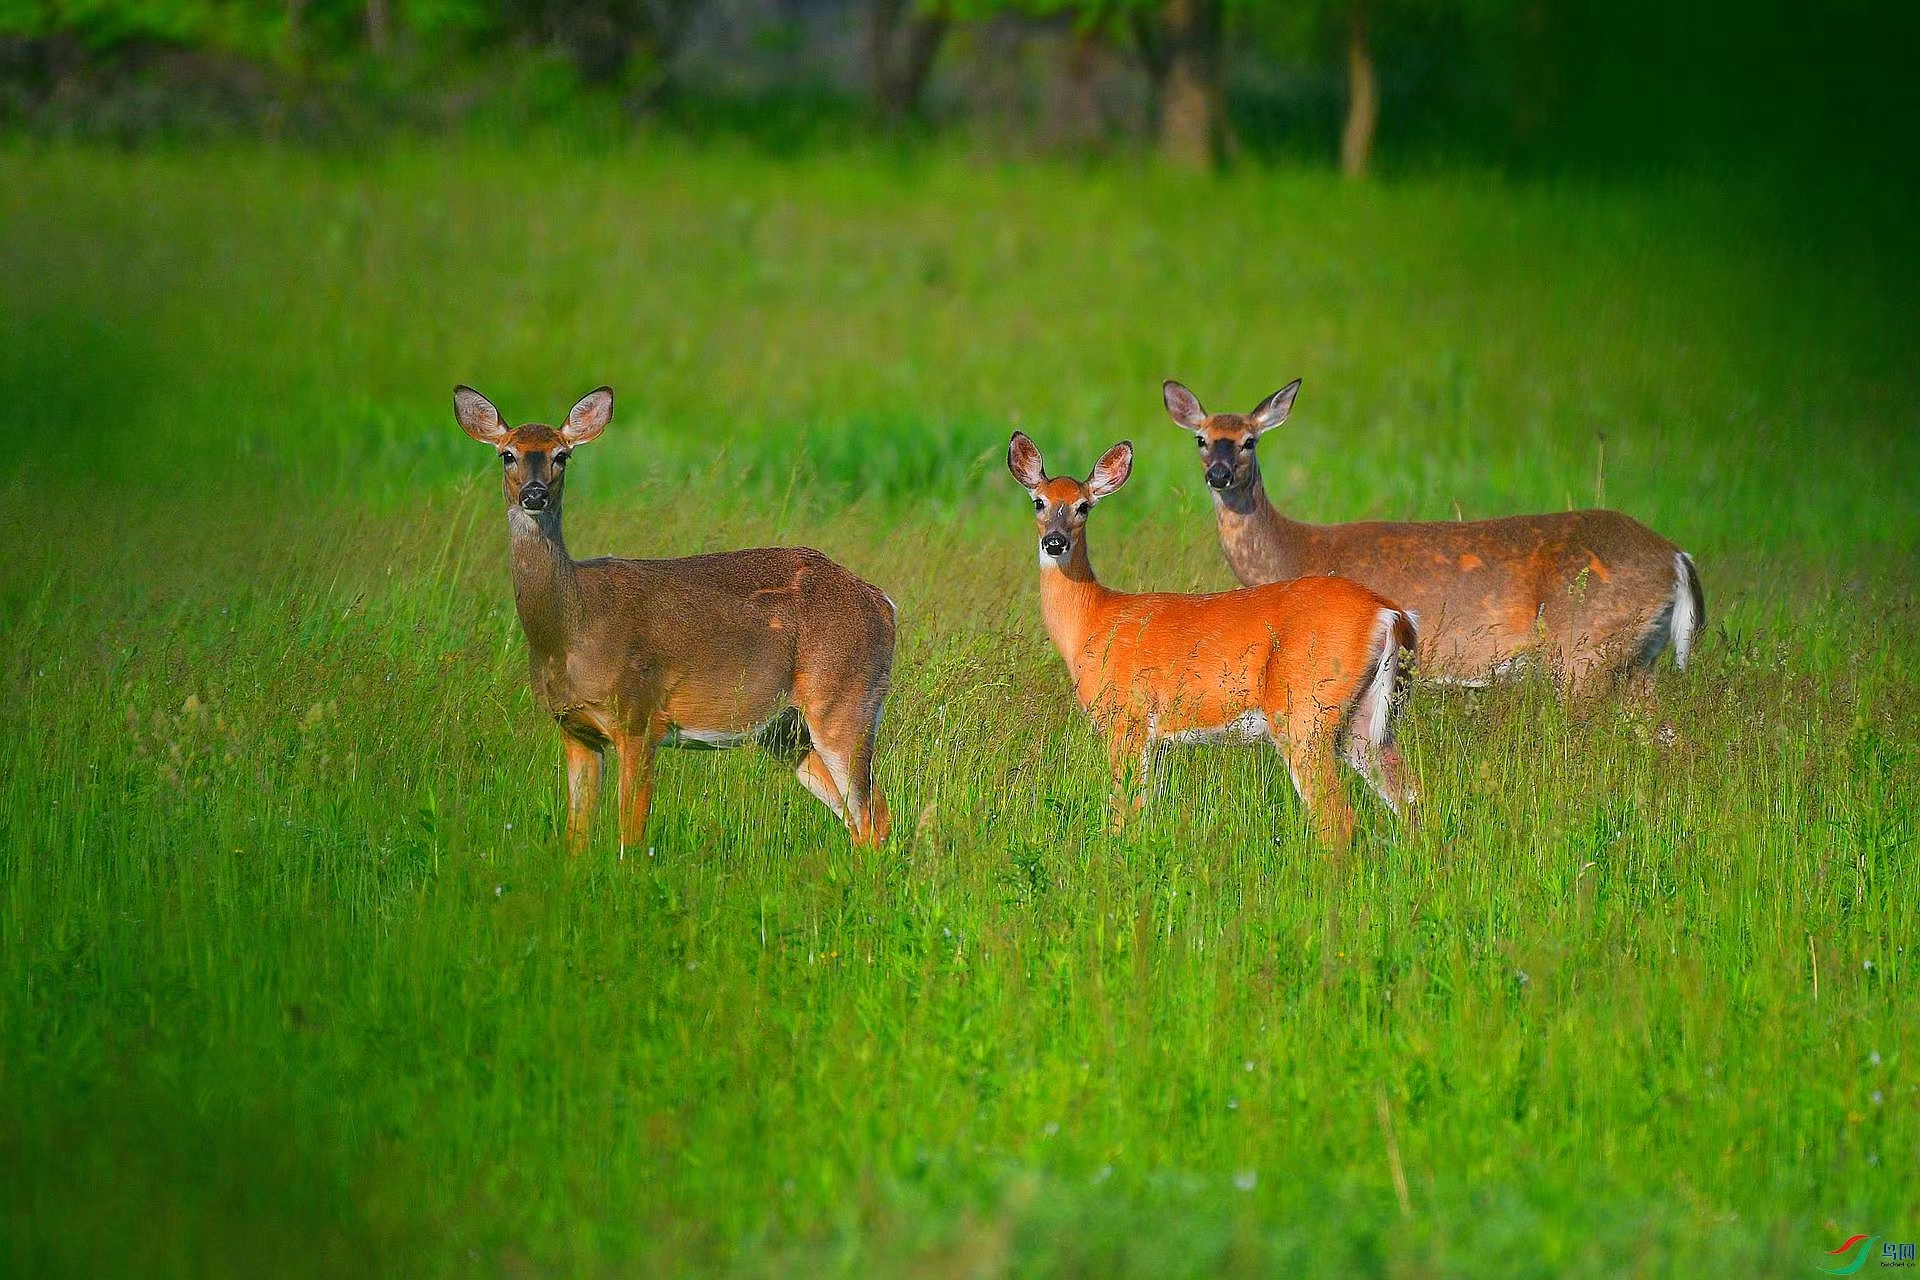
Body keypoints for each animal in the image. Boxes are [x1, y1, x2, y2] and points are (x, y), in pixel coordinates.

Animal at [456, 385, 898, 855]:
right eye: (507, 454)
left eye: (562, 456)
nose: (535, 494)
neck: (570, 631)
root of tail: (884, 603)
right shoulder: (575, 730)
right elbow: (577, 838)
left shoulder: (639, 716)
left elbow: (631, 837)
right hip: (786, 732)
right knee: (860, 816)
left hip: (843, 701)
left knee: (872, 818)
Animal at [1013, 433, 1420, 852]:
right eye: (1039, 502)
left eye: (1084, 506)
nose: (1055, 542)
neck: (1092, 618)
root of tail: (1388, 612)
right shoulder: (1156, 739)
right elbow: (1144, 807)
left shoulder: (1127, 715)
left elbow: (1123, 809)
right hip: (1365, 719)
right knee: (1409, 796)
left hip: (1305, 709)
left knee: (1337, 816)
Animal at [1159, 378, 1704, 702]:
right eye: (1201, 439)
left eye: (1249, 441)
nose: (1219, 475)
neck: (1294, 553)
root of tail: (1676, 556)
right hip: (1637, 658)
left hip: (1585, 651)